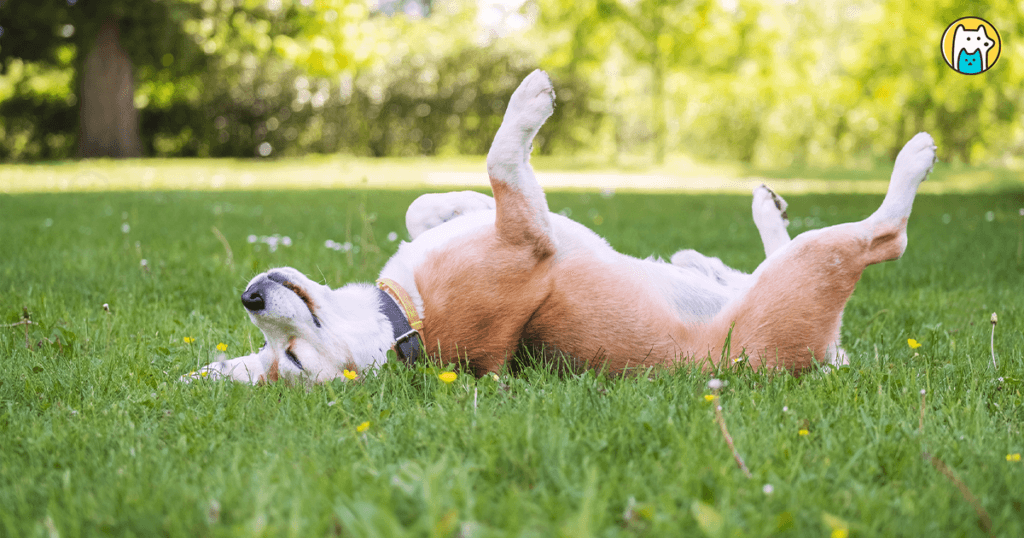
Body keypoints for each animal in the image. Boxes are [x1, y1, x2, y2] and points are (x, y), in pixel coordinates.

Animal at [184, 70, 937, 381]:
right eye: (291, 360)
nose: (251, 296)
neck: (404, 318)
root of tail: (822, 359)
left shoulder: (509, 225)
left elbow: (426, 205)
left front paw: (446, 202)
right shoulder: (527, 237)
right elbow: (500, 160)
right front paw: (528, 103)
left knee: (754, 257)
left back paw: (731, 236)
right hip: (815, 265)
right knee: (885, 235)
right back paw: (913, 159)